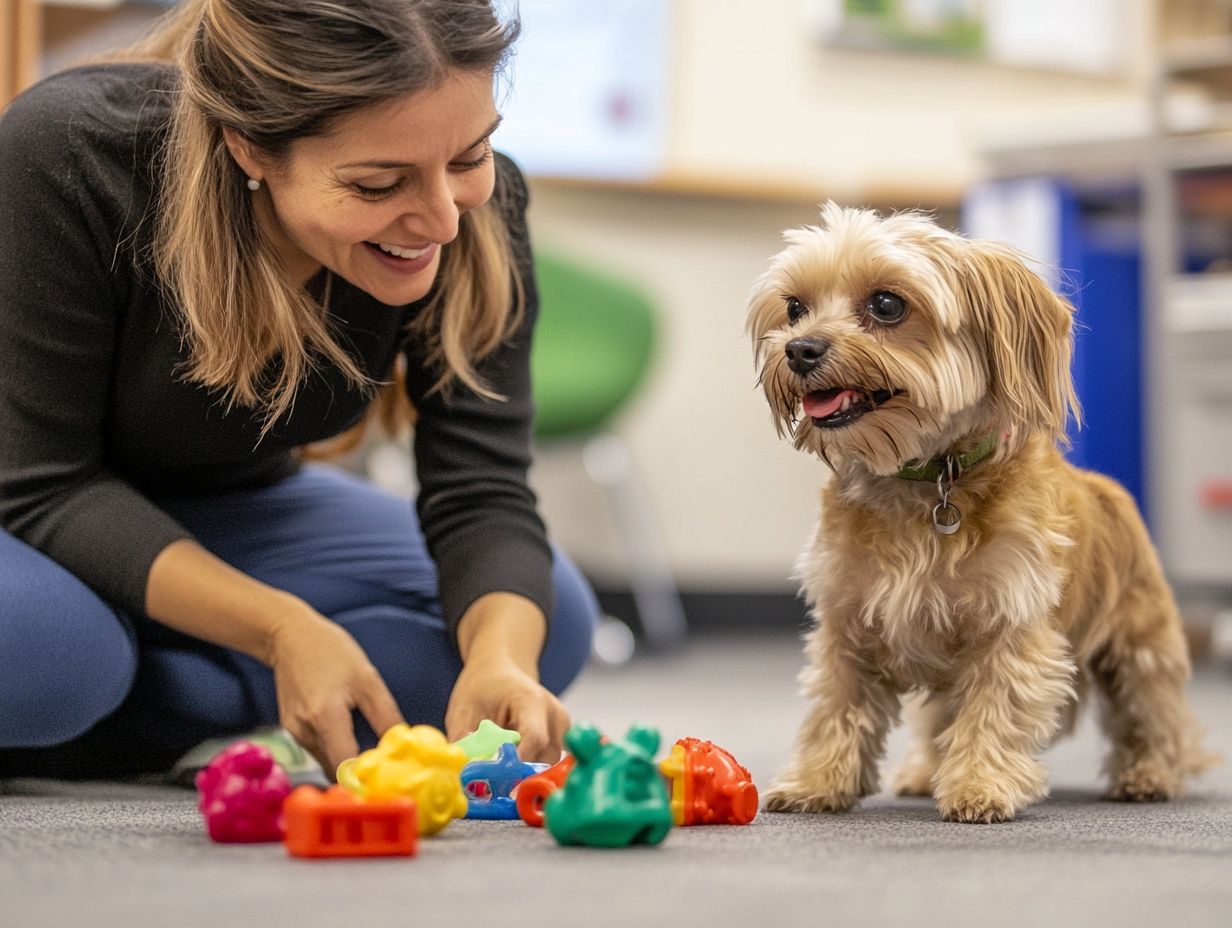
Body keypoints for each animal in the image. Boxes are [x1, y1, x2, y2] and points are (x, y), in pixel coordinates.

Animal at [744, 204, 1217, 823]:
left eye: (887, 305)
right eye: (795, 307)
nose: (799, 349)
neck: (924, 479)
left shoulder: (1011, 625)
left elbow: (996, 708)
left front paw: (980, 786)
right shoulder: (845, 624)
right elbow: (835, 707)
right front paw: (816, 781)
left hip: (1140, 646)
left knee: (1155, 716)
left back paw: (1150, 775)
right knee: (936, 723)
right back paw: (923, 773)